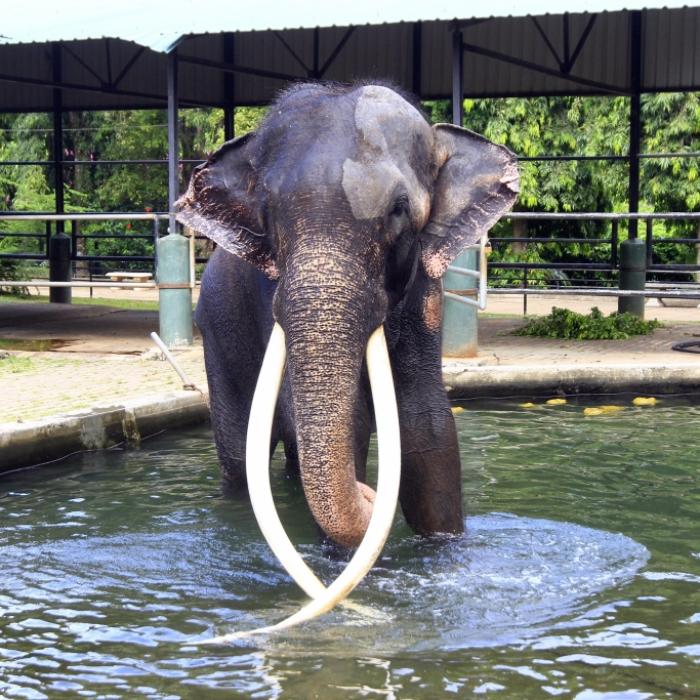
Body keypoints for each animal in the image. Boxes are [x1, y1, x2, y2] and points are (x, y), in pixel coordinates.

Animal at [177, 82, 518, 559]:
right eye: (269, 212)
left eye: (399, 209)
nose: (369, 492)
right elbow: (351, 422)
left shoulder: (426, 291)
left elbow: (427, 425)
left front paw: (442, 552)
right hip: (217, 331)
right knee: (242, 457)